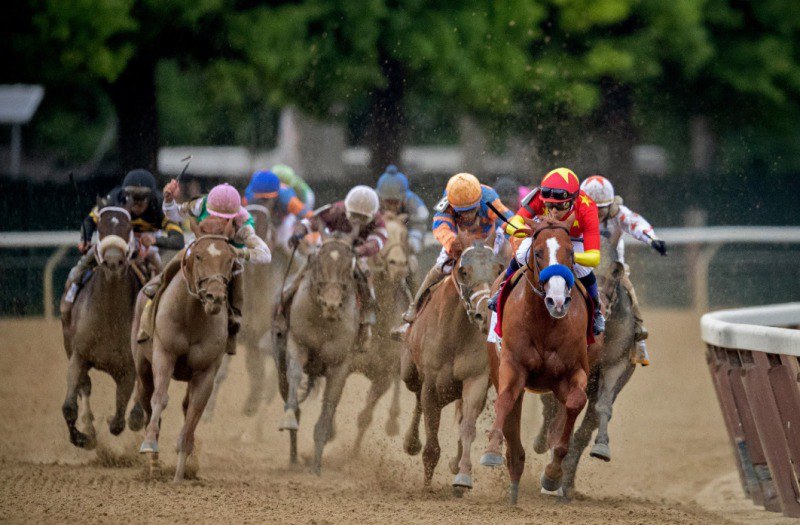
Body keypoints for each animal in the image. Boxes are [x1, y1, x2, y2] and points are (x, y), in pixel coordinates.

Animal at [131, 223, 236, 482]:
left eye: (230, 259)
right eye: (198, 256)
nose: (215, 296)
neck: (192, 317)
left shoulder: (206, 371)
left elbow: (194, 411)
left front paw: (180, 471)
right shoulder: (164, 354)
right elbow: (160, 398)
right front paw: (149, 444)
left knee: (186, 406)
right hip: (142, 366)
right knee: (146, 398)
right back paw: (153, 463)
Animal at [478, 217, 592, 504]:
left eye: (571, 253)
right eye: (538, 253)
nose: (558, 301)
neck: (544, 323)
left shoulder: (572, 372)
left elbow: (575, 402)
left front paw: (552, 475)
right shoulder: (512, 366)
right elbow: (504, 400)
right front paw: (492, 450)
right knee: (510, 411)